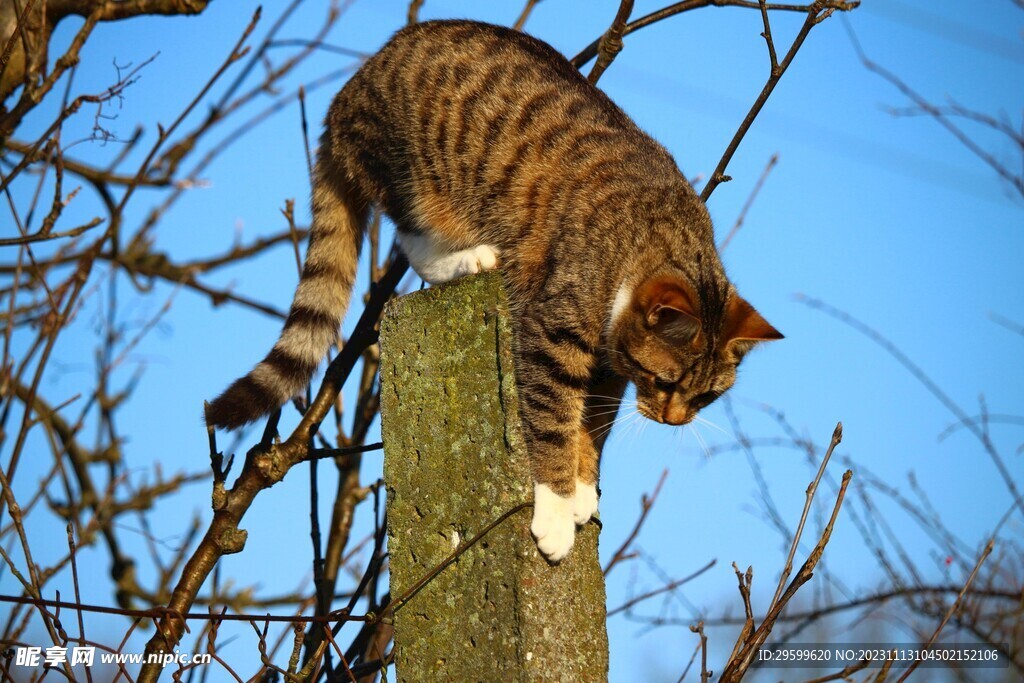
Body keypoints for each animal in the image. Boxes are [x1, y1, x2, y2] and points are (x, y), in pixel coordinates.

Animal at [207, 21, 782, 565]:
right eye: (666, 383)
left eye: (705, 396)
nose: (674, 420)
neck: (647, 241)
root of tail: (353, 87)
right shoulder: (553, 333)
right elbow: (554, 418)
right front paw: (558, 506)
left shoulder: (610, 371)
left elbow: (592, 425)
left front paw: (584, 484)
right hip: (415, 175)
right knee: (411, 237)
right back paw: (472, 257)